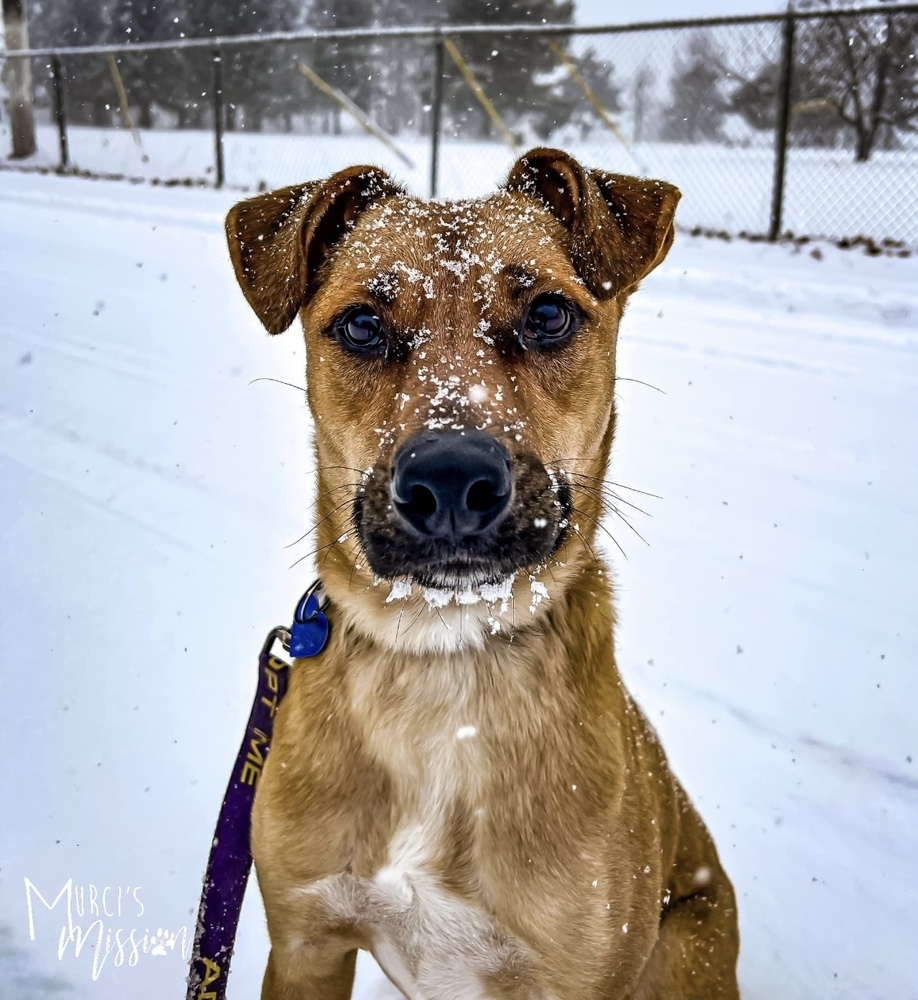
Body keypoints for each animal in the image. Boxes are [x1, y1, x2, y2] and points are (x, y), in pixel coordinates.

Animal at [226, 148, 744, 1000]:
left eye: (549, 315)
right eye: (362, 325)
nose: (449, 481)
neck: (443, 658)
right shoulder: (305, 944)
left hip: (683, 954)